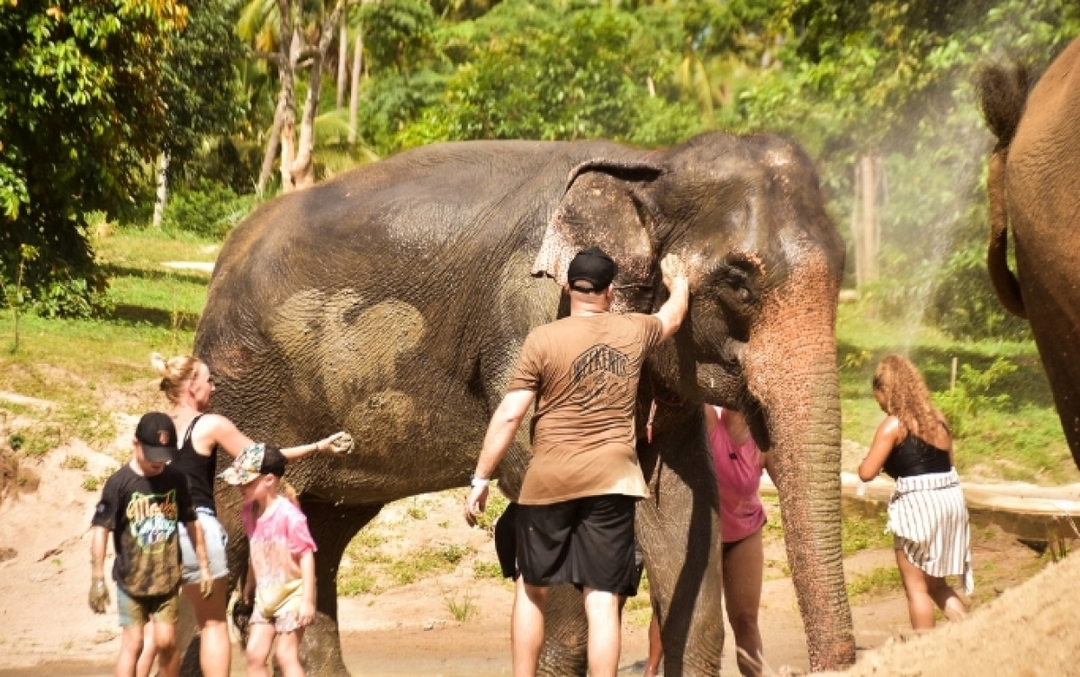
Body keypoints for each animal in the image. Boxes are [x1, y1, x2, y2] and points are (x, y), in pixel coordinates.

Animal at [191, 130, 855, 675]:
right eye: (738, 282)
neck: (651, 165)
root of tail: (225, 255)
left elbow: (682, 503)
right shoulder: (531, 314)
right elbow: (536, 475)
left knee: (325, 534)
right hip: (240, 387)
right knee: (226, 531)